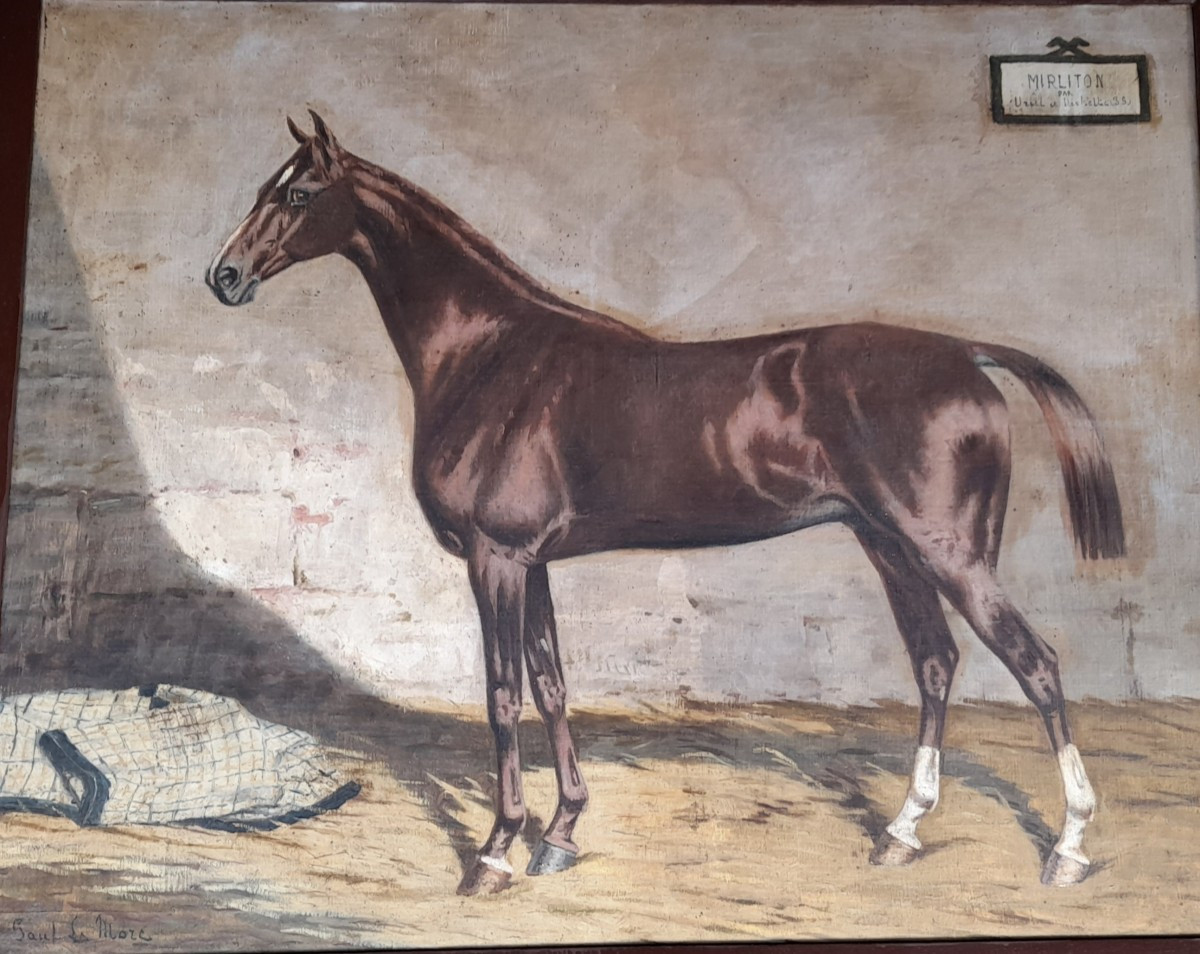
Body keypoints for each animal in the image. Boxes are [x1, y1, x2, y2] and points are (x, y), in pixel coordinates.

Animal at [206, 112, 1124, 896]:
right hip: (891, 548)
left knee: (1037, 665)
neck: (492, 354)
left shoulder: (496, 558)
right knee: (936, 665)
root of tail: (967, 355)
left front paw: (496, 852)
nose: (224, 276)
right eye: (260, 187)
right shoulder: (532, 563)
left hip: (948, 553)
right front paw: (560, 834)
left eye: (296, 194)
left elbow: (502, 695)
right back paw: (901, 834)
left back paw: (1071, 848)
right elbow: (552, 685)